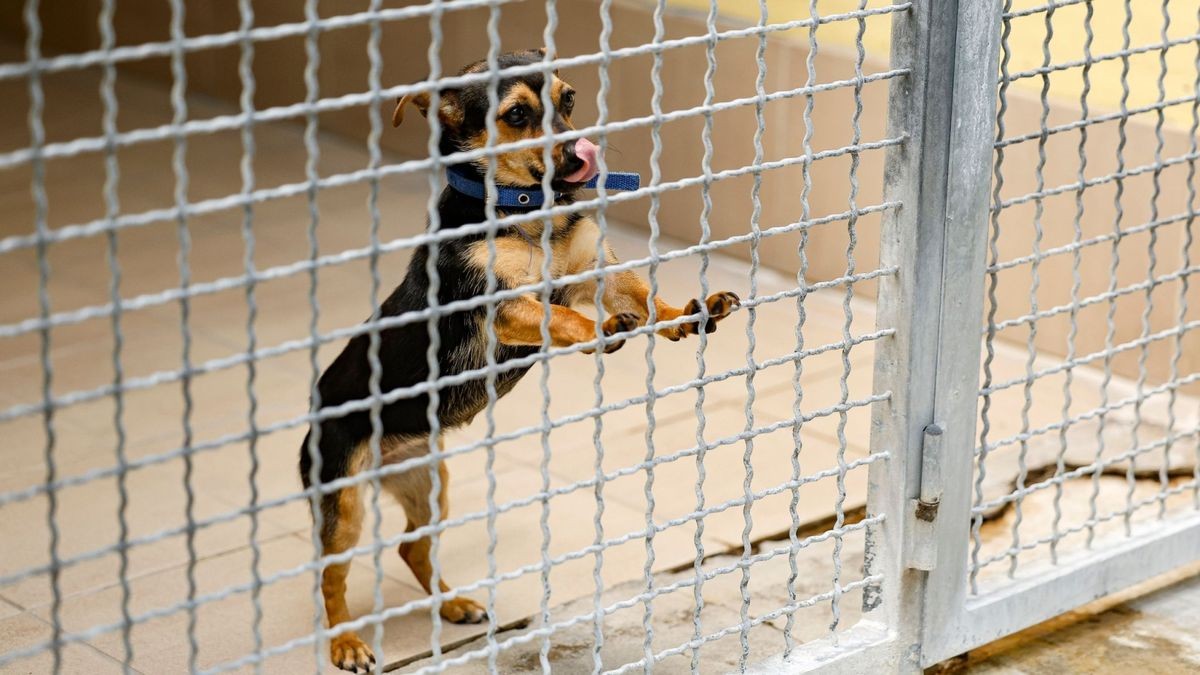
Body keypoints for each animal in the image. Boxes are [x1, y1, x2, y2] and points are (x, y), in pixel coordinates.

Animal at [300, 49, 734, 667]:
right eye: (517, 115)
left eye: (569, 98)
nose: (581, 152)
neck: (526, 209)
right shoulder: (502, 306)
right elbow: (562, 318)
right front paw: (601, 331)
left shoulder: (600, 274)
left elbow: (647, 298)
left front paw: (690, 313)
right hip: (344, 502)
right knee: (331, 576)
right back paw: (346, 644)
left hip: (428, 483)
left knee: (412, 549)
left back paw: (453, 606)